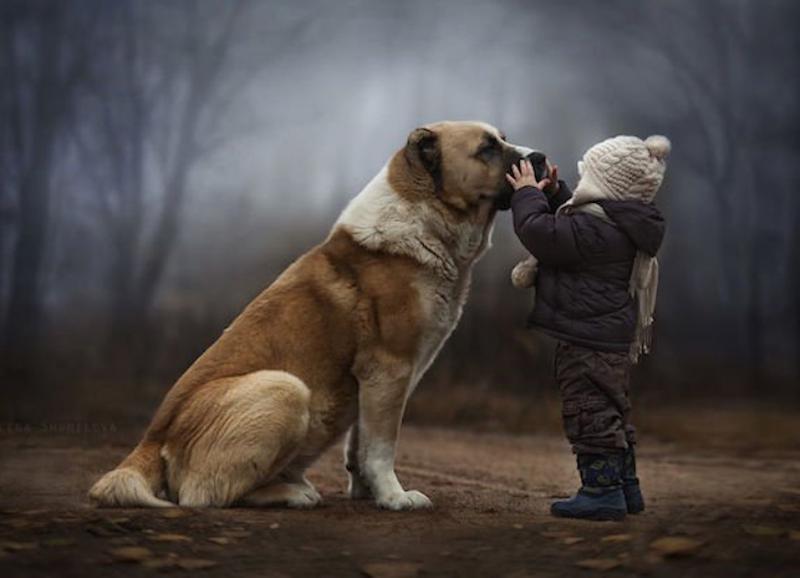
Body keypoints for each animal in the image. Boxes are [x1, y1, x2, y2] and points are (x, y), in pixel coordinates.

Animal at [87, 119, 536, 506]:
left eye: (502, 139)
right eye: (486, 148)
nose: (542, 157)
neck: (425, 219)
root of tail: (150, 439)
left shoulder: (374, 382)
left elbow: (360, 444)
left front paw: (368, 493)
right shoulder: (388, 369)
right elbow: (381, 446)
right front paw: (395, 498)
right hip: (285, 388)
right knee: (204, 495)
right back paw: (292, 493)